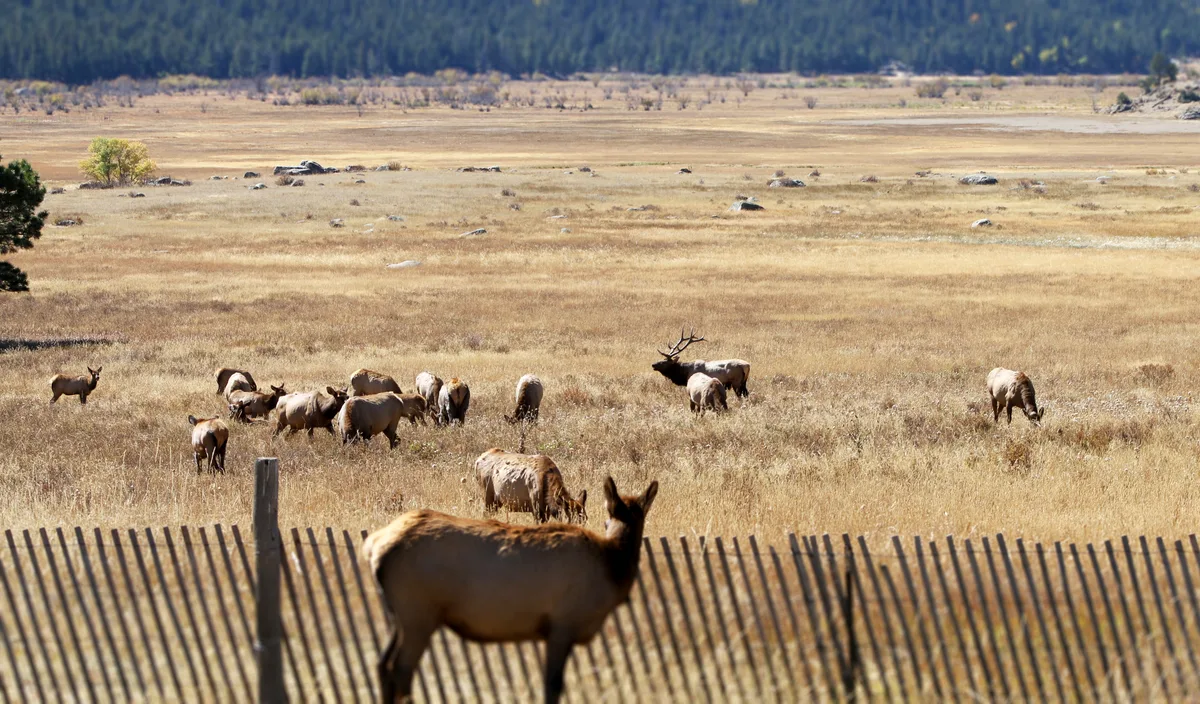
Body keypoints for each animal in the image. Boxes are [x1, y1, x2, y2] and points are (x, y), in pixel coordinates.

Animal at [364, 476, 657, 704]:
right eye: (606, 523)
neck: (611, 567)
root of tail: (374, 547)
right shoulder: (563, 625)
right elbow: (552, 686)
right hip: (418, 613)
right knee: (400, 670)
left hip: (400, 616)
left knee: (382, 665)